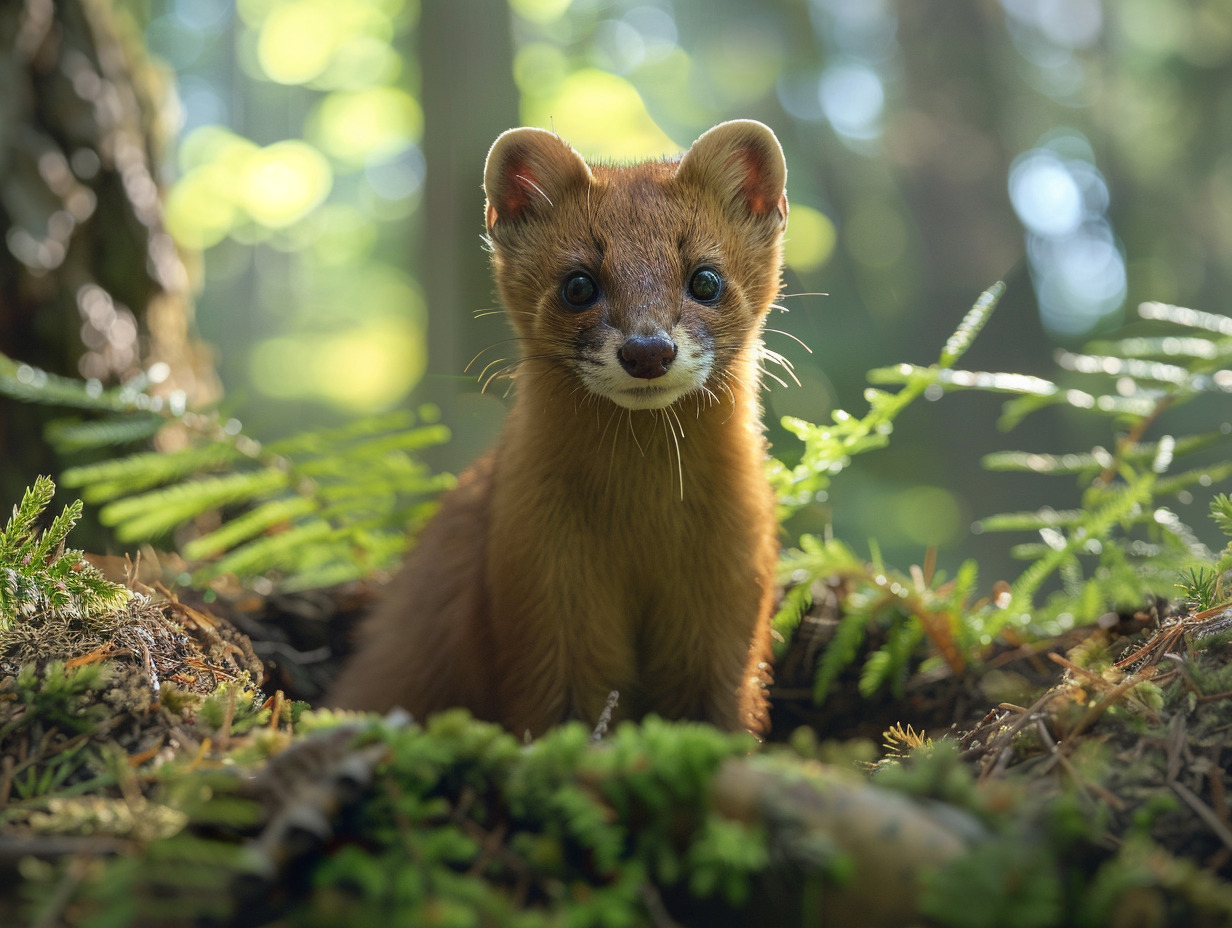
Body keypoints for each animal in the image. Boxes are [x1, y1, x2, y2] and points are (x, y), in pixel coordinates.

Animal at [330, 119, 788, 734]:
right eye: (578, 285)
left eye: (706, 279)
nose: (647, 349)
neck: (640, 522)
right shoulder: (538, 580)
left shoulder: (733, 582)